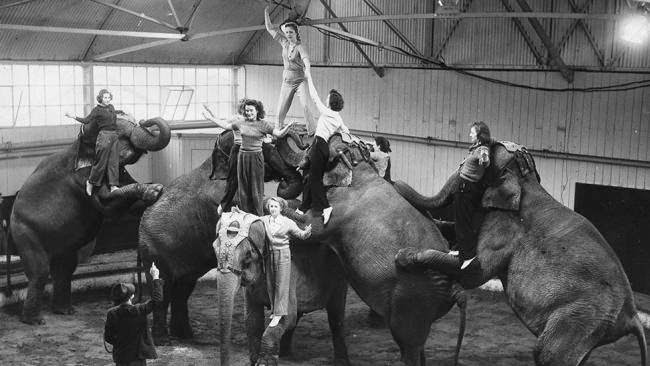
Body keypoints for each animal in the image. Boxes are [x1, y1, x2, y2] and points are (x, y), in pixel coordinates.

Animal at [8, 114, 171, 324]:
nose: (145, 121)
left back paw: (65, 311)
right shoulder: (82, 176)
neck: (81, 140)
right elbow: (106, 203)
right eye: (118, 132)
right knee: (40, 271)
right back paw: (34, 321)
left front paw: (152, 195)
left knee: (65, 268)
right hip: (25, 231)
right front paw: (154, 189)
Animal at [392, 141, 644, 366]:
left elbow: (476, 271)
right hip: (592, 326)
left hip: (580, 316)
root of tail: (632, 316)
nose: (394, 182)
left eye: (468, 172)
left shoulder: (506, 226)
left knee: (546, 354)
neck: (525, 179)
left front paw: (403, 257)